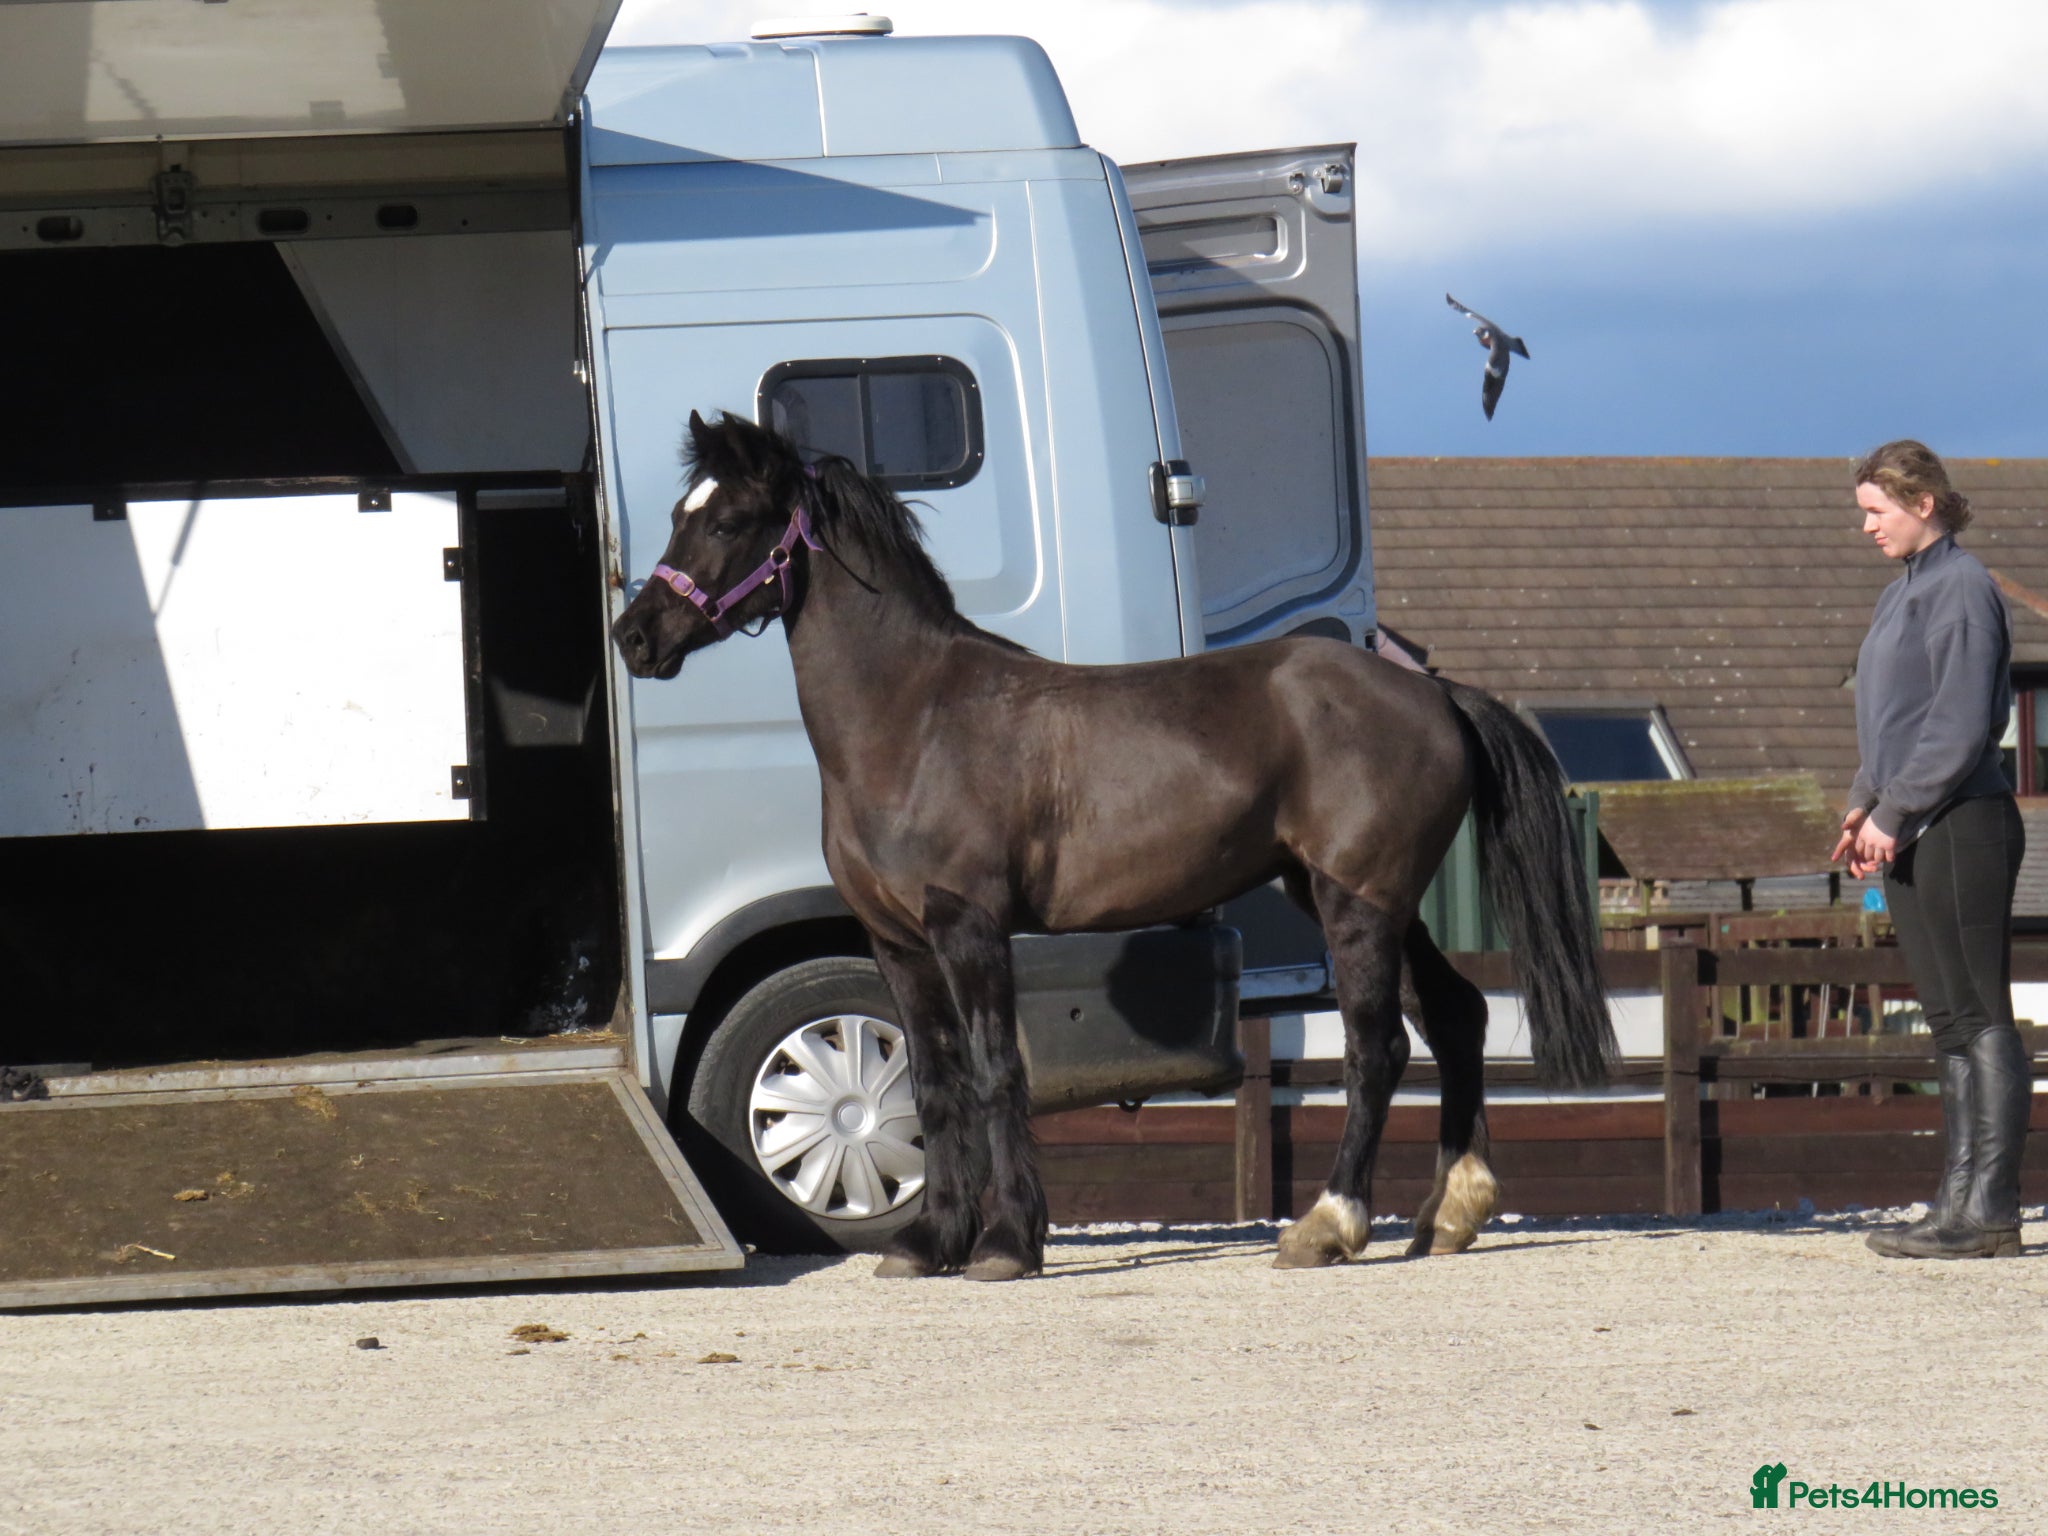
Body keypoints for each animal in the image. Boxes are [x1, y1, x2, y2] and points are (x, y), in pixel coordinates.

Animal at [613, 411, 1615, 1281]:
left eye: (730, 520)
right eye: (679, 514)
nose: (635, 636)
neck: (915, 718)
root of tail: (1434, 694)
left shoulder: (970, 928)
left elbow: (994, 1071)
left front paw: (1006, 1244)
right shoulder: (895, 941)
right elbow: (930, 1085)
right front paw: (926, 1243)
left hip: (1356, 903)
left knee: (1378, 1049)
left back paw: (1328, 1227)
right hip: (1373, 900)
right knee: (1455, 1016)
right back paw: (1448, 1214)